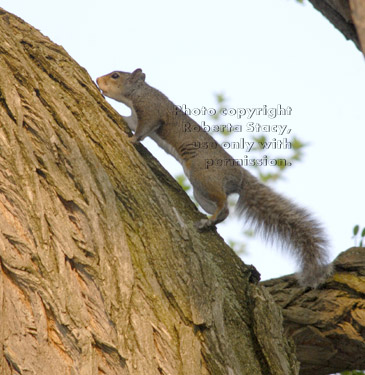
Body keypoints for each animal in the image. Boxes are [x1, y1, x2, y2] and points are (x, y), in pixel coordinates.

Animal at [95, 69, 332, 290]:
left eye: (116, 75)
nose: (98, 80)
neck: (141, 92)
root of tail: (238, 177)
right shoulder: (135, 116)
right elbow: (129, 120)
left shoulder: (152, 112)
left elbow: (142, 131)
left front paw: (130, 139)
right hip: (201, 193)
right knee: (223, 210)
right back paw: (211, 221)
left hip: (203, 178)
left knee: (224, 205)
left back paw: (207, 221)